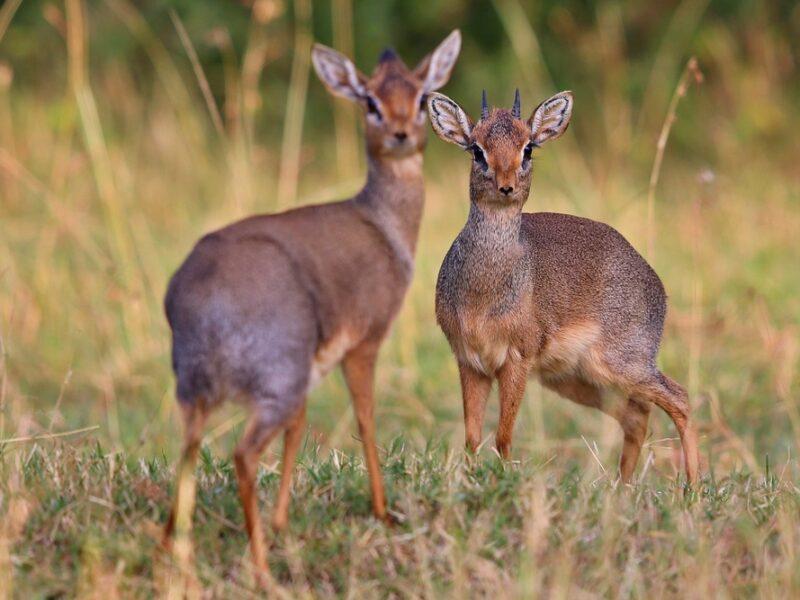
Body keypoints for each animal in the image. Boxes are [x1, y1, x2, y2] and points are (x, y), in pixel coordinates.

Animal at [162, 30, 461, 579]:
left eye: (421, 96)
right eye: (369, 100)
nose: (402, 133)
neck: (383, 225)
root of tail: (195, 295)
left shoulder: (314, 367)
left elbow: (300, 429)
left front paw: (282, 522)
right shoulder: (364, 342)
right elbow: (366, 418)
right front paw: (382, 512)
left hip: (197, 389)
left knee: (189, 449)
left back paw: (169, 547)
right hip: (272, 383)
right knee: (242, 455)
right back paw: (260, 568)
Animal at [426, 89, 699, 484]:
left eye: (528, 148)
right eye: (476, 149)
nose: (506, 186)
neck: (483, 293)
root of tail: (657, 285)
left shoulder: (516, 360)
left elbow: (503, 437)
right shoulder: (470, 361)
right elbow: (473, 438)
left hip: (623, 363)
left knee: (680, 398)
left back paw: (692, 488)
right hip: (579, 378)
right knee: (636, 415)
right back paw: (623, 487)